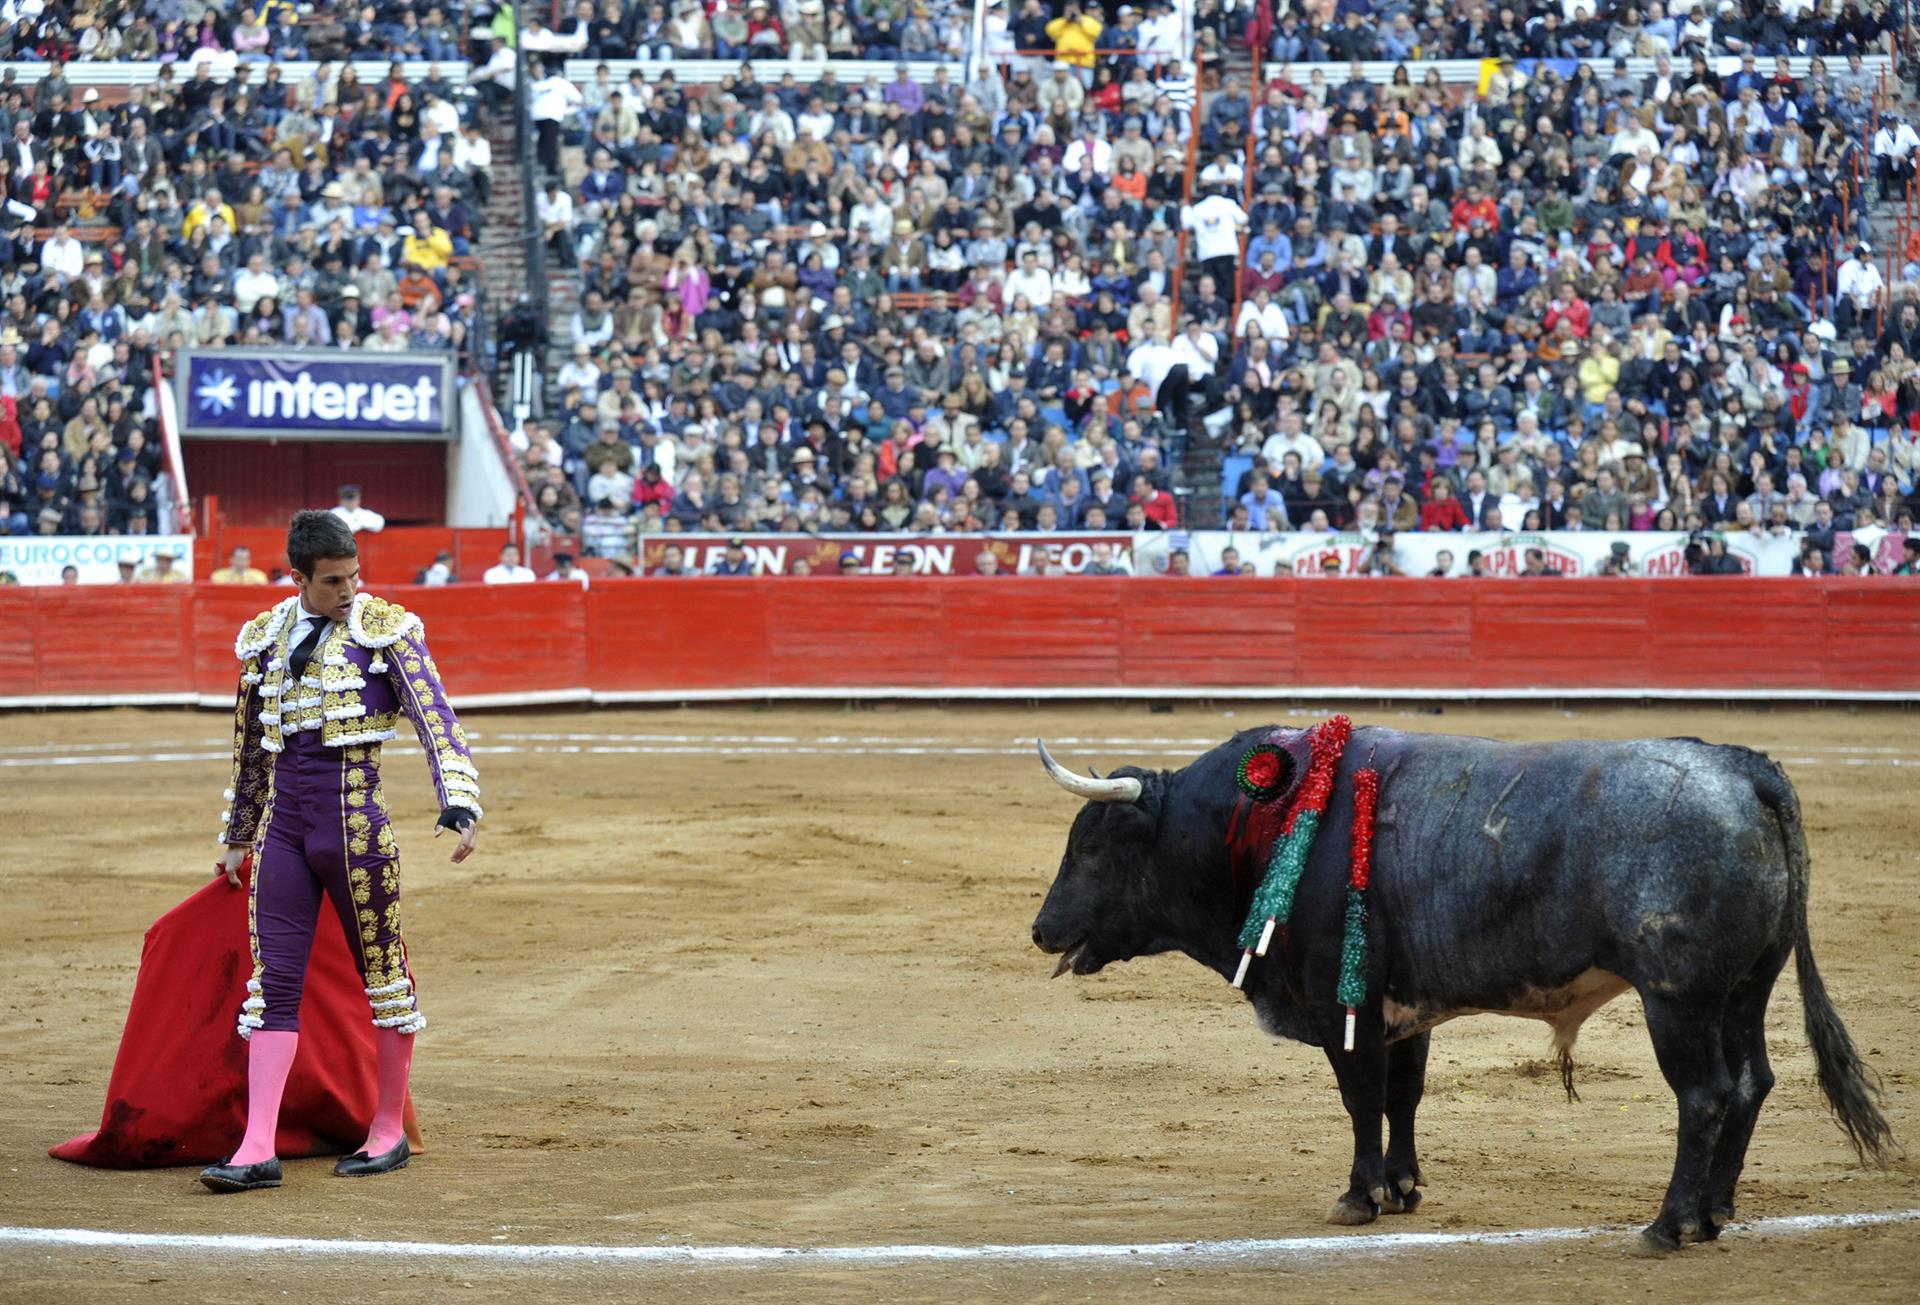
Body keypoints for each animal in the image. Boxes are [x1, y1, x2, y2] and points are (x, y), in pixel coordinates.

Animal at [1029, 729, 1896, 1251]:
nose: (1040, 930)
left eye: (1094, 847)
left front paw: (1359, 1195)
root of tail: (1745, 768)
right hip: (1746, 988)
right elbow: (1403, 1095)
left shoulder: (1341, 1003)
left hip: (1678, 997)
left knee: (1706, 1093)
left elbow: (1361, 1097)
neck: (1277, 825)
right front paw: (1404, 1186)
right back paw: (1714, 1214)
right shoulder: (1402, 1007)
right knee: (1752, 1081)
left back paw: (1668, 1222)